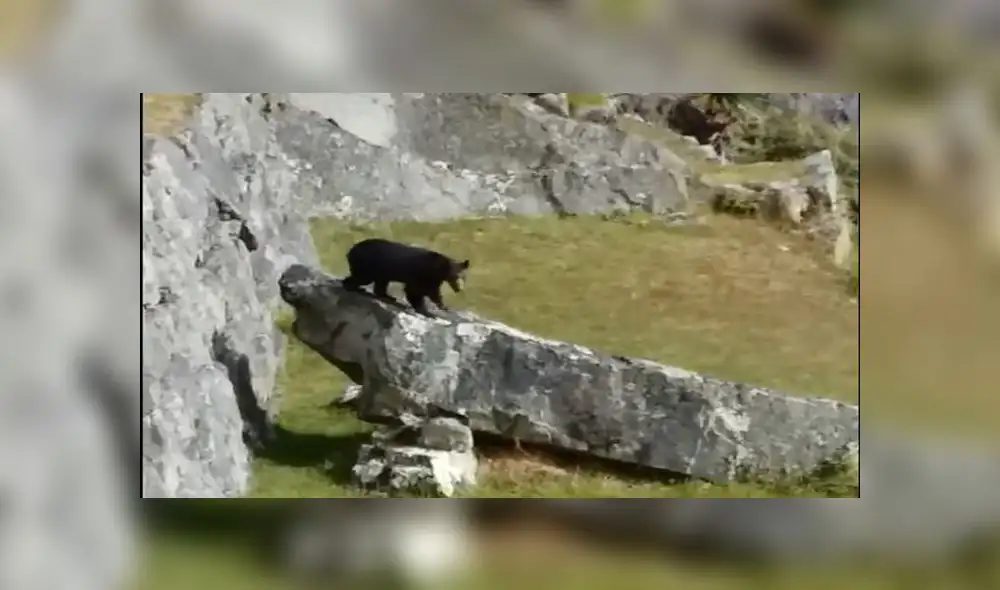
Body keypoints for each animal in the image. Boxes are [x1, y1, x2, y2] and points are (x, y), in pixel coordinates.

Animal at [341, 238, 470, 317]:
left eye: (464, 278)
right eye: (456, 276)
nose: (460, 289)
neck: (438, 269)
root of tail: (350, 250)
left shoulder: (434, 279)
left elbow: (433, 291)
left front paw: (443, 306)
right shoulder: (423, 273)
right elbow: (415, 291)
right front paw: (427, 311)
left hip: (382, 270)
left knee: (381, 283)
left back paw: (388, 296)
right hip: (369, 265)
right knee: (362, 278)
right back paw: (352, 286)